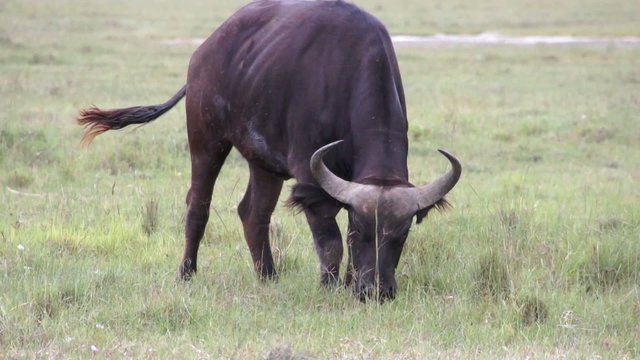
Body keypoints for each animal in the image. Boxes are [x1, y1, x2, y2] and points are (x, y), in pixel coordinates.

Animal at [79, 0, 460, 300]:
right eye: (358, 231)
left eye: (402, 234)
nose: (376, 292)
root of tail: (204, 53)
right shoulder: (311, 180)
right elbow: (330, 243)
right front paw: (330, 288)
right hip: (206, 141)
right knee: (198, 205)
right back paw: (186, 273)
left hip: (263, 163)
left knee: (253, 213)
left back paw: (268, 277)